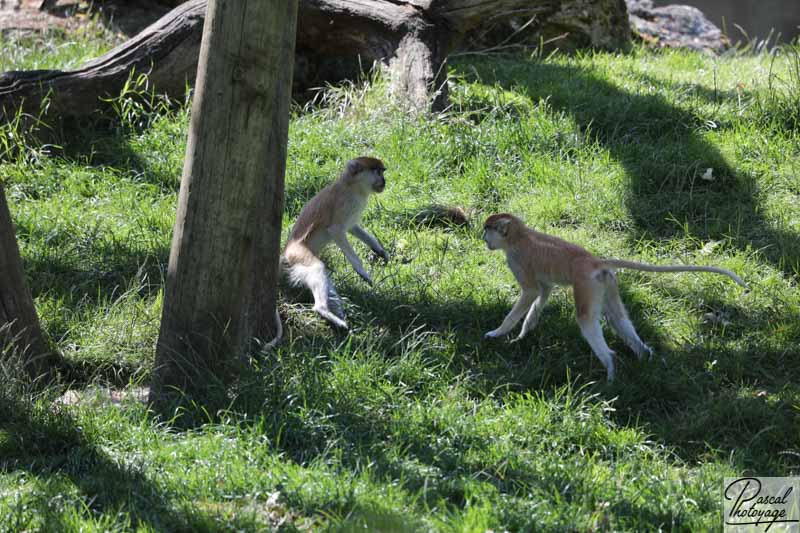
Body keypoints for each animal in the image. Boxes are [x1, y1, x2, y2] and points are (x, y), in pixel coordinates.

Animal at [282, 156, 390, 328]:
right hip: (297, 253)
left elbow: (352, 227)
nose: (384, 181)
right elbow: (336, 230)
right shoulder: (346, 202)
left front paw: (379, 250)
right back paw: (323, 310)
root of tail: (286, 249)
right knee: (317, 267)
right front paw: (362, 271)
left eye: (382, 171)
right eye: (377, 172)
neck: (352, 184)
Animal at [482, 214, 752, 380]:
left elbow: (530, 292)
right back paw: (644, 356)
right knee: (618, 319)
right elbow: (543, 292)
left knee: (586, 320)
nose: (483, 239)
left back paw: (610, 370)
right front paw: (522, 335)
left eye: (488, 230)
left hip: (587, 285)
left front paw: (497, 333)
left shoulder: (516, 259)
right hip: (607, 283)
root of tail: (594, 262)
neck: (519, 234)